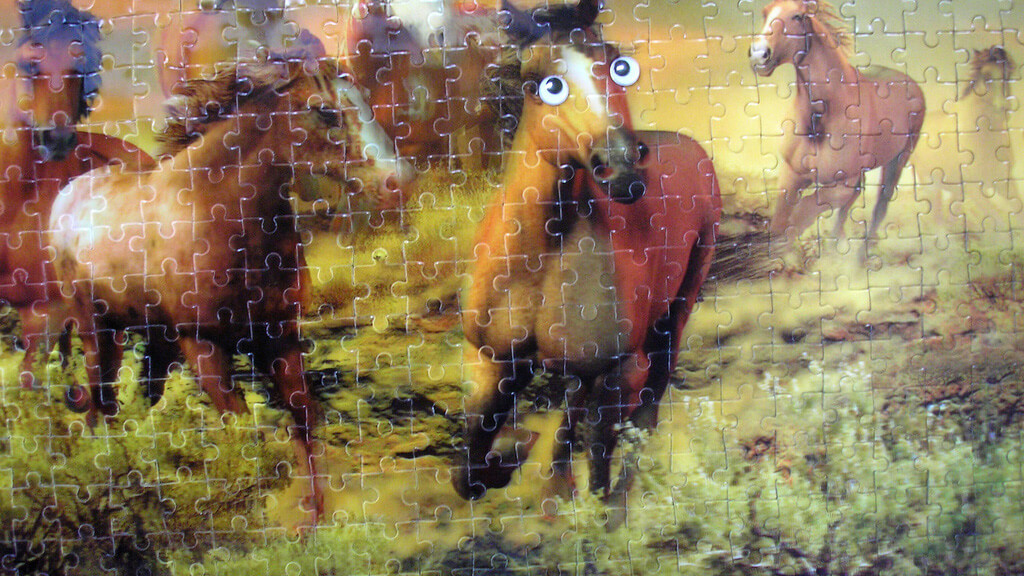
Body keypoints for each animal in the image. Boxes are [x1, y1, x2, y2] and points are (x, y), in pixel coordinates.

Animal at [47, 55, 407, 524]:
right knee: (100, 405)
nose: (398, 182)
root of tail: (68, 196)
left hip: (158, 341)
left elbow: (304, 421)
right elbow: (243, 432)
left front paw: (312, 521)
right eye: (326, 111)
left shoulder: (277, 337)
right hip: (99, 332)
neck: (218, 213)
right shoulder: (204, 345)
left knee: (137, 404)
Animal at [450, 0, 722, 529]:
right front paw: (512, 462)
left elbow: (601, 452)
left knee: (648, 396)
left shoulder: (623, 369)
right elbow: (468, 471)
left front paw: (604, 508)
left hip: (682, 299)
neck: (538, 259)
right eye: (541, 83)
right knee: (576, 401)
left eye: (618, 64)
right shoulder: (491, 362)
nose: (622, 168)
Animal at [749, 0, 926, 261]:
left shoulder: (841, 185)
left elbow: (803, 212)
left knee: (880, 206)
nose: (759, 54)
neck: (821, 118)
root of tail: (910, 83)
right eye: (765, 13)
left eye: (798, 16)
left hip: (899, 159)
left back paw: (860, 259)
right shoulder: (792, 175)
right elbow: (782, 218)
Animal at [911, 46, 1018, 226]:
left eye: (1007, 75)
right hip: (928, 177)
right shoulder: (974, 189)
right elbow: (997, 220)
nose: (1004, 108)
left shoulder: (1004, 182)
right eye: (986, 77)